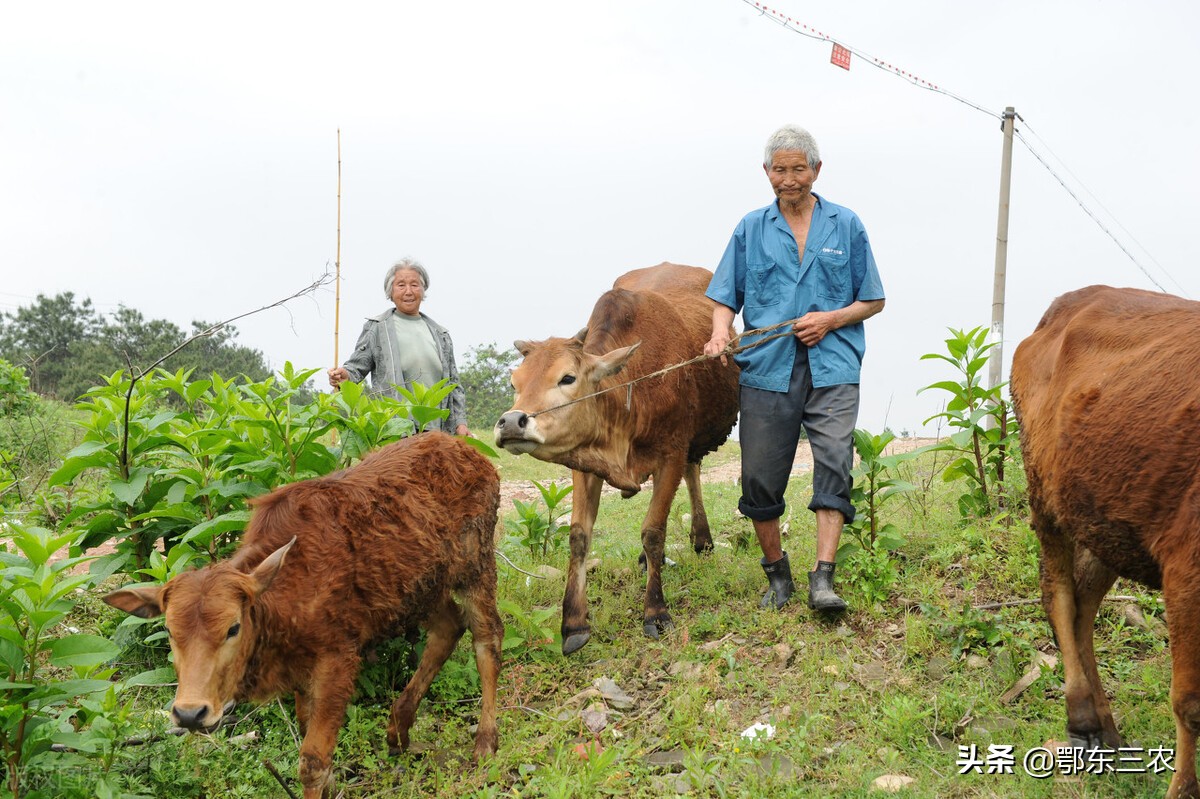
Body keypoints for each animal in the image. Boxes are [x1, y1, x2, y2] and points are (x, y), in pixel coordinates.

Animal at [99, 431, 501, 791]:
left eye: (233, 627)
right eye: (169, 631)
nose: (189, 713)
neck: (282, 602)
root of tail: (473, 454)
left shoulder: (338, 659)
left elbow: (312, 762)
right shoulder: (300, 673)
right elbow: (311, 740)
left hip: (476, 565)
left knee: (488, 639)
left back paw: (485, 741)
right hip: (423, 588)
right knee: (448, 628)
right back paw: (398, 728)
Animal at [489, 261, 734, 652]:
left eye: (567, 378)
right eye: (515, 384)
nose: (512, 422)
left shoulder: (672, 451)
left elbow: (653, 531)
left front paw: (655, 612)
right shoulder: (584, 462)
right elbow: (578, 536)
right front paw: (574, 622)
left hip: (692, 442)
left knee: (692, 473)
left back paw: (702, 539)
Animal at [1012, 283, 1200, 791]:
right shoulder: (1186, 568)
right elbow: (1191, 704)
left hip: (1106, 519)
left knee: (1083, 605)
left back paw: (1105, 728)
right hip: (1046, 495)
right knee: (1058, 593)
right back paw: (1081, 719)